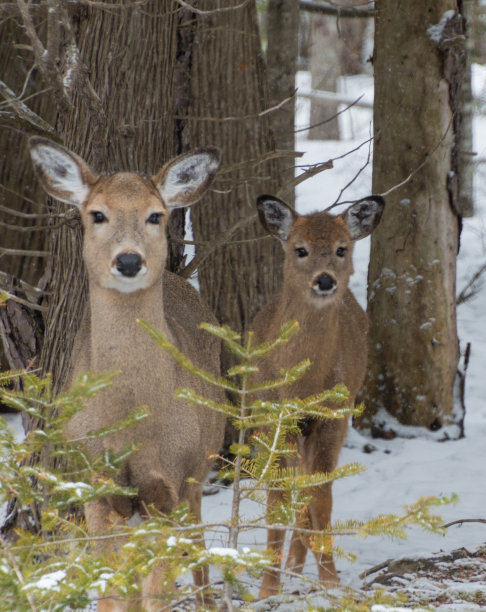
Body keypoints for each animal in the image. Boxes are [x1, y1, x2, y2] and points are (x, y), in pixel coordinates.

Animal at [29, 139, 227, 612]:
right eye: (97, 214)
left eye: (155, 215)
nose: (130, 259)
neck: (132, 427)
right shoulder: (96, 486)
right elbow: (114, 589)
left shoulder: (170, 484)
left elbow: (155, 593)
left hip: (201, 466)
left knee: (197, 546)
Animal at [252, 192, 386, 596]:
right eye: (300, 249)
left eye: (342, 248)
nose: (324, 280)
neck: (303, 384)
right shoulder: (274, 417)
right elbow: (277, 499)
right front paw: (267, 588)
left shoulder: (332, 417)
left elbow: (321, 497)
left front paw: (330, 580)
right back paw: (293, 564)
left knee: (308, 488)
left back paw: (301, 561)